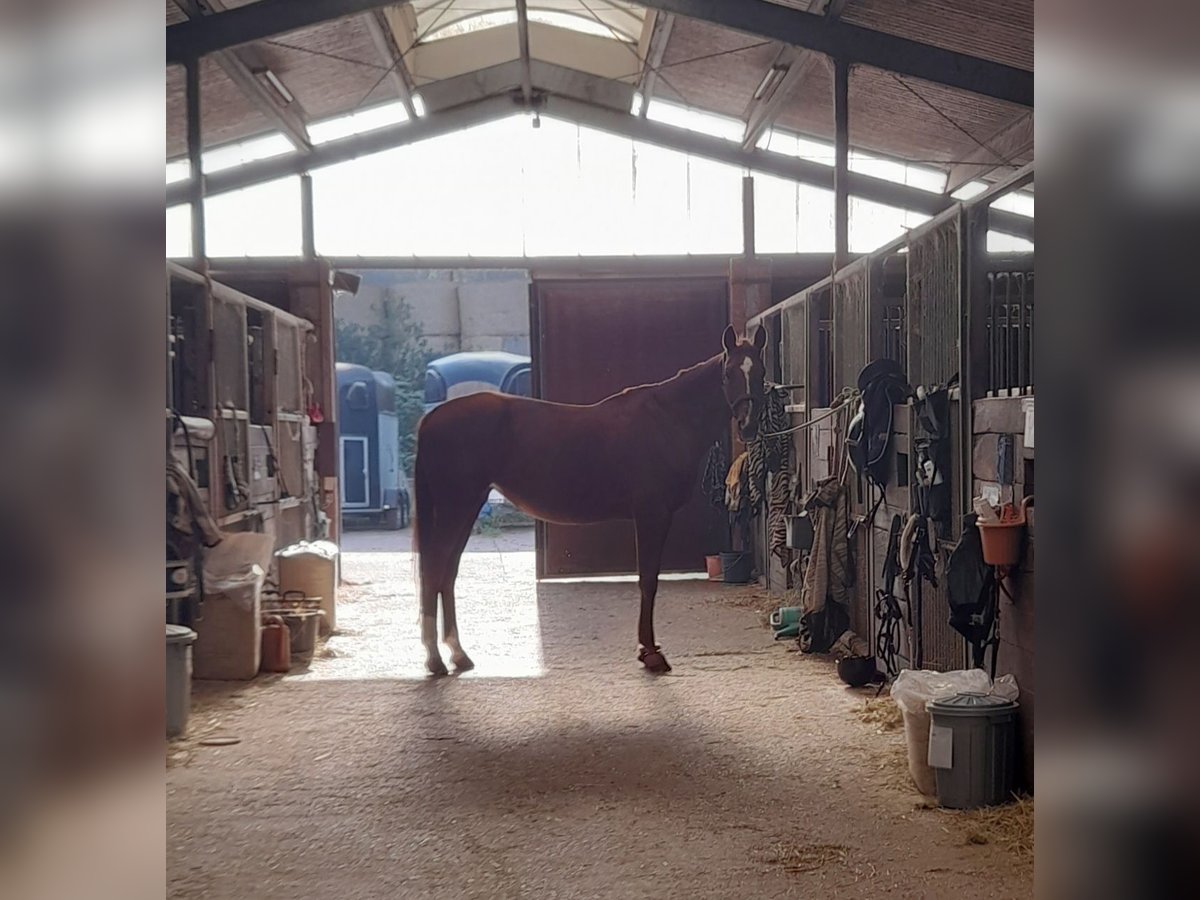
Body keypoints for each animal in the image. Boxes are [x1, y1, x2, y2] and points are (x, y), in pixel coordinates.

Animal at [412, 326, 768, 676]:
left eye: (761, 373)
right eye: (729, 373)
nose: (748, 425)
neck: (668, 419)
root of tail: (431, 420)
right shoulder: (651, 515)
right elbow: (648, 580)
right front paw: (651, 653)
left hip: (467, 504)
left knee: (447, 570)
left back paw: (458, 654)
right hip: (456, 505)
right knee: (435, 567)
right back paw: (435, 659)